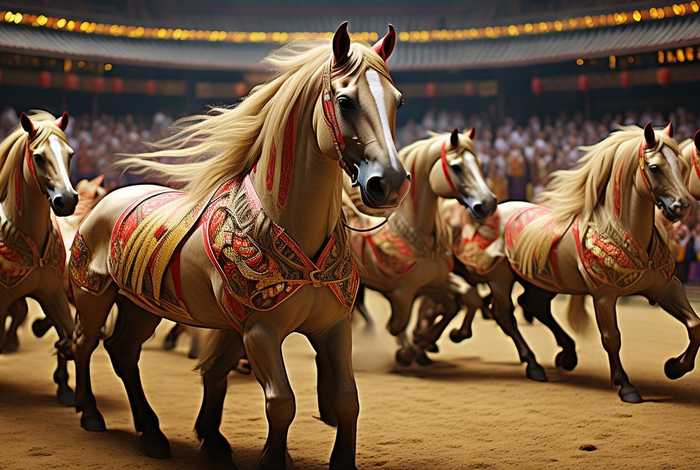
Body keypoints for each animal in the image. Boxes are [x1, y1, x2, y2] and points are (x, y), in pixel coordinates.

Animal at [0, 110, 78, 405]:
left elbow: (69, 337)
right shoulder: (3, 298)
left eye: (70, 154)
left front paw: (65, 387)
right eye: (39, 157)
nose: (67, 200)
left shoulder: (52, 293)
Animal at [69, 23, 409, 469]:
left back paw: (153, 432)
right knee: (85, 344)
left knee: (123, 352)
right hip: (94, 295)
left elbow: (346, 400)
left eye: (397, 101)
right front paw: (269, 458)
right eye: (345, 101)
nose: (390, 183)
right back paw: (91, 412)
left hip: (142, 305)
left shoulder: (332, 327)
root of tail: (105, 202)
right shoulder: (261, 330)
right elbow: (281, 402)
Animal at [347, 128, 497, 366]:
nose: (488, 204)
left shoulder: (435, 281)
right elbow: (397, 324)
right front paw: (410, 351)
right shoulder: (402, 292)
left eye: (479, 163)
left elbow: (464, 299)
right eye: (456, 166)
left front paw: (446, 337)